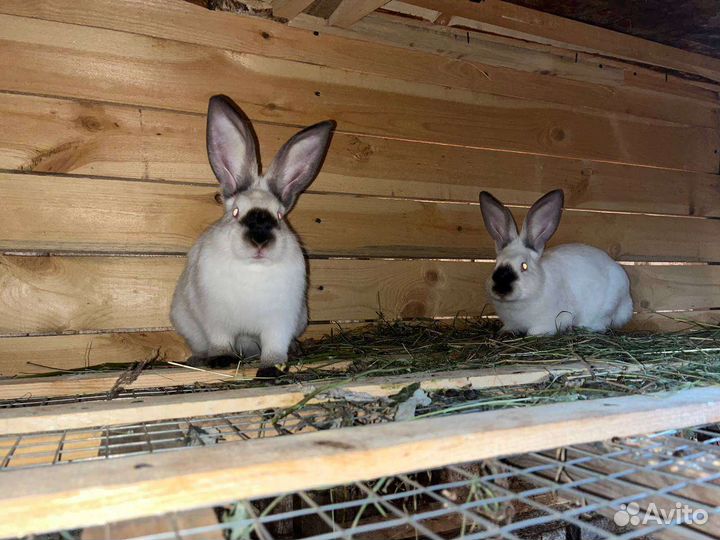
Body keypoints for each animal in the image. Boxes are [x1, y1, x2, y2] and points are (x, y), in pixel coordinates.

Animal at [171, 95, 335, 368]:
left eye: (279, 216)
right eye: (236, 212)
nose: (259, 241)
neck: (253, 268)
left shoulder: (279, 323)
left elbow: (274, 346)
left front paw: (273, 365)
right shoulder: (217, 321)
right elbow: (221, 341)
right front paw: (221, 359)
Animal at [478, 189, 633, 336]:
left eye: (524, 266)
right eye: (496, 264)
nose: (501, 289)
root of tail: (627, 302)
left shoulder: (551, 320)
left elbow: (533, 332)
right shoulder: (511, 322)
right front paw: (504, 332)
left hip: (604, 309)